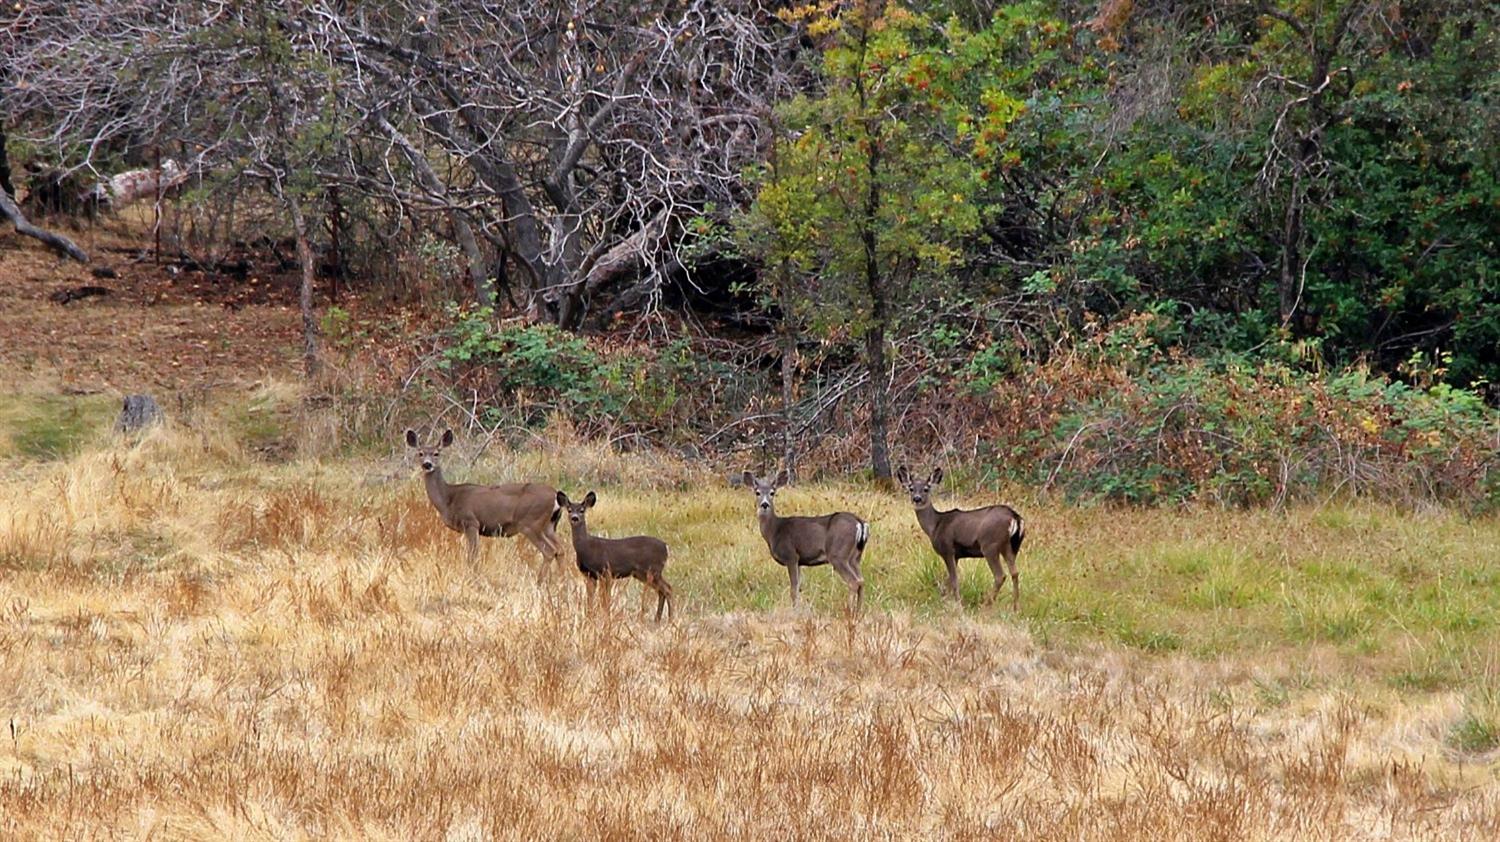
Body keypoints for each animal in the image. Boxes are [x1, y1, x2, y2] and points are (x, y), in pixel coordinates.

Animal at [402, 426, 561, 576]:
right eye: (420, 453)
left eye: (437, 453)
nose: (427, 464)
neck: (448, 499)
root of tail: (555, 494)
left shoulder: (471, 522)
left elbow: (472, 556)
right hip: (548, 525)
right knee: (560, 549)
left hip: (530, 522)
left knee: (549, 551)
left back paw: (541, 581)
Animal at [558, 489, 675, 621]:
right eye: (569, 509)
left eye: (582, 510)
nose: (575, 518)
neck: (586, 548)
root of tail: (666, 547)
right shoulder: (589, 575)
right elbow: (590, 599)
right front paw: (590, 617)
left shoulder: (606, 571)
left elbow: (606, 599)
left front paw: (605, 618)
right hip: (643, 574)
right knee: (662, 591)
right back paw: (657, 620)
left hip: (653, 570)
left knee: (668, 589)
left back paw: (670, 619)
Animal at [738, 465, 870, 609]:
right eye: (757, 492)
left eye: (772, 492)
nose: (765, 504)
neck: (774, 531)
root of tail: (860, 522)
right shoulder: (799, 561)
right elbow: (799, 587)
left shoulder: (791, 556)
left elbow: (793, 588)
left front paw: (795, 608)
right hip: (856, 557)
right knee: (862, 580)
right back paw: (858, 610)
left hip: (838, 554)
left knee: (854, 581)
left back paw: (849, 610)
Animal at [894, 462, 1026, 606]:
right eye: (911, 488)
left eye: (926, 489)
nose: (917, 499)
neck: (935, 526)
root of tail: (1015, 517)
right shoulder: (956, 555)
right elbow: (947, 581)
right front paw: (946, 601)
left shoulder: (947, 549)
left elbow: (954, 580)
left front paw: (958, 604)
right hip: (1010, 546)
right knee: (1015, 572)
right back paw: (1015, 606)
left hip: (990, 544)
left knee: (1000, 575)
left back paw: (986, 605)